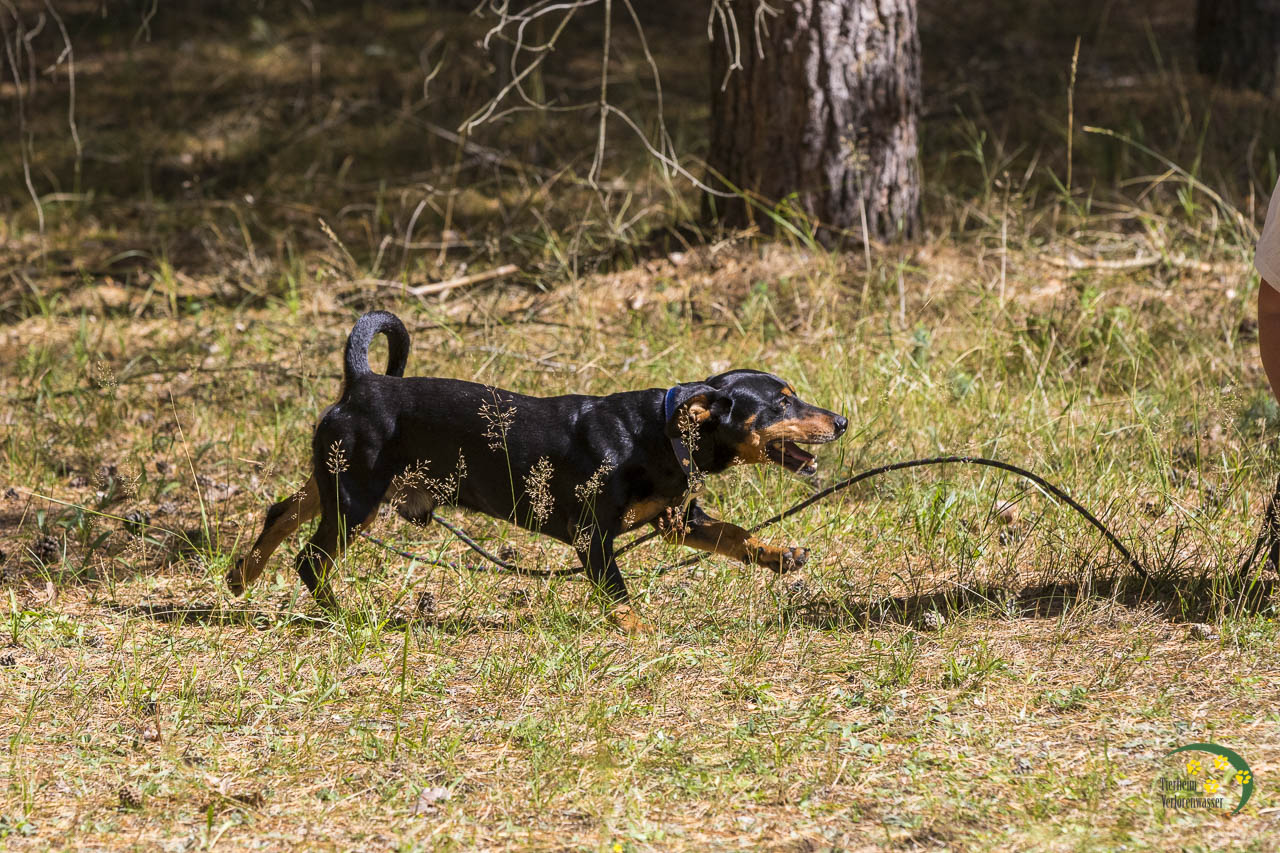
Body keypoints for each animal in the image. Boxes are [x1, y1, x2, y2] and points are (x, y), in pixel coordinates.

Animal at [229, 310, 847, 631]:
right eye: (782, 403)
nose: (841, 421)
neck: (661, 433)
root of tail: (362, 383)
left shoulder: (678, 521)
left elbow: (736, 536)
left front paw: (781, 555)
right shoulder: (593, 537)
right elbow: (619, 595)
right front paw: (640, 632)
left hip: (333, 481)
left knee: (280, 512)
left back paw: (241, 576)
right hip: (356, 498)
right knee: (312, 561)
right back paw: (346, 615)